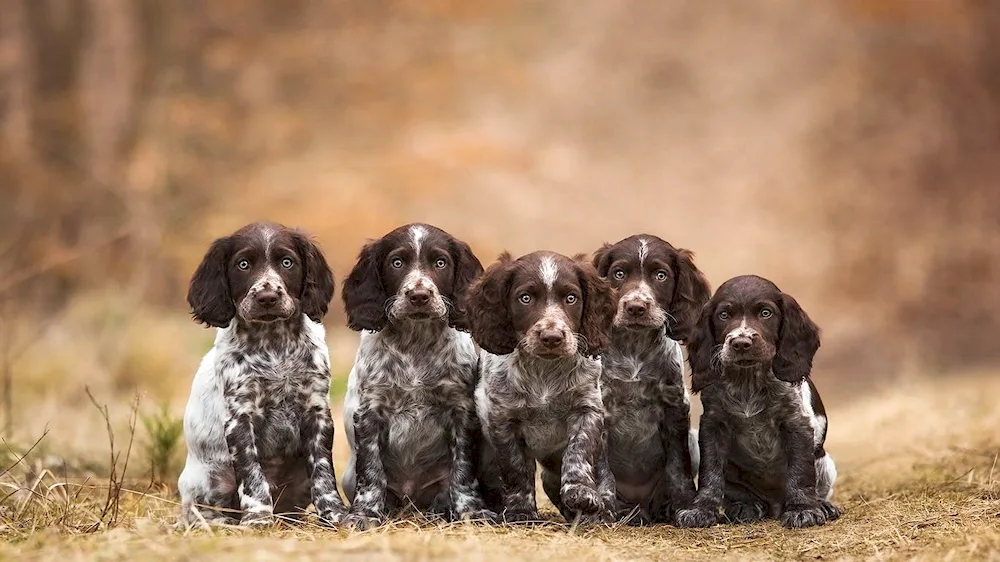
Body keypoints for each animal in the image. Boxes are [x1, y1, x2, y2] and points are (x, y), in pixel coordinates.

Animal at [173, 222, 344, 524]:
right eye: (243, 264)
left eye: (287, 262)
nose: (267, 297)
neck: (274, 343)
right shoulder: (240, 417)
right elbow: (251, 473)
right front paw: (258, 517)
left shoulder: (317, 411)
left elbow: (323, 472)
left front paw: (334, 513)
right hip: (209, 478)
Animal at [340, 221, 492, 528]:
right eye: (396, 262)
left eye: (440, 262)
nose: (419, 296)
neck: (415, 341)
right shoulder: (369, 411)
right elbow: (371, 471)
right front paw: (364, 514)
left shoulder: (461, 410)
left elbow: (463, 472)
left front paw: (472, 511)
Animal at [466, 252, 616, 524]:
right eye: (525, 298)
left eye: (571, 298)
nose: (552, 337)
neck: (544, 371)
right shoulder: (501, 420)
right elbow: (516, 468)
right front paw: (521, 512)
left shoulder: (587, 409)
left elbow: (579, 450)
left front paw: (581, 492)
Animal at [592, 234, 712, 524]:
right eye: (619, 273)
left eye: (661, 275)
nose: (635, 307)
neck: (634, 349)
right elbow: (602, 469)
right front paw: (603, 509)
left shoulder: (674, 406)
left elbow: (678, 466)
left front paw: (684, 505)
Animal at [676, 274, 840, 528]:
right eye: (724, 315)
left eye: (765, 313)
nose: (741, 343)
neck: (748, 381)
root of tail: (774, 505)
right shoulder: (713, 424)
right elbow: (710, 473)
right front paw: (701, 509)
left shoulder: (797, 422)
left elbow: (800, 472)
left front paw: (803, 509)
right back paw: (746, 506)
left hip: (825, 463)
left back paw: (821, 505)